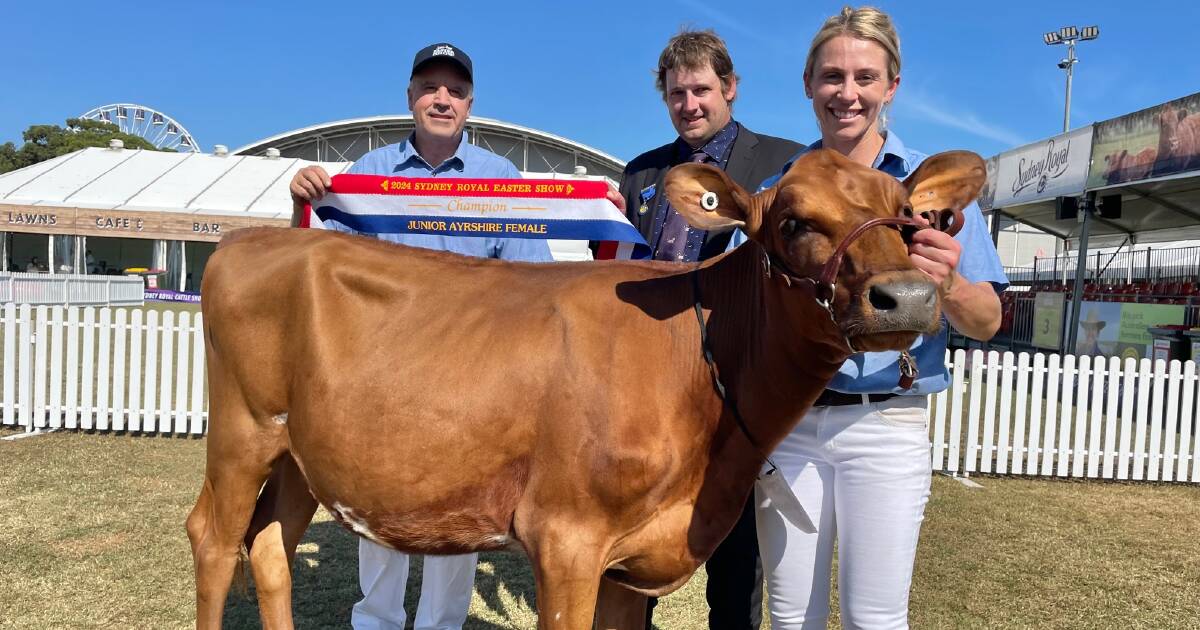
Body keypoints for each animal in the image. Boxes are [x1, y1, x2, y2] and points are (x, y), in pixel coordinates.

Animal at [182, 146, 979, 624]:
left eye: (910, 220)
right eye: (792, 221)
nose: (908, 297)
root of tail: (259, 237)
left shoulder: (631, 563)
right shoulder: (565, 539)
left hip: (302, 455)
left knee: (270, 550)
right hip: (242, 432)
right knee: (215, 540)